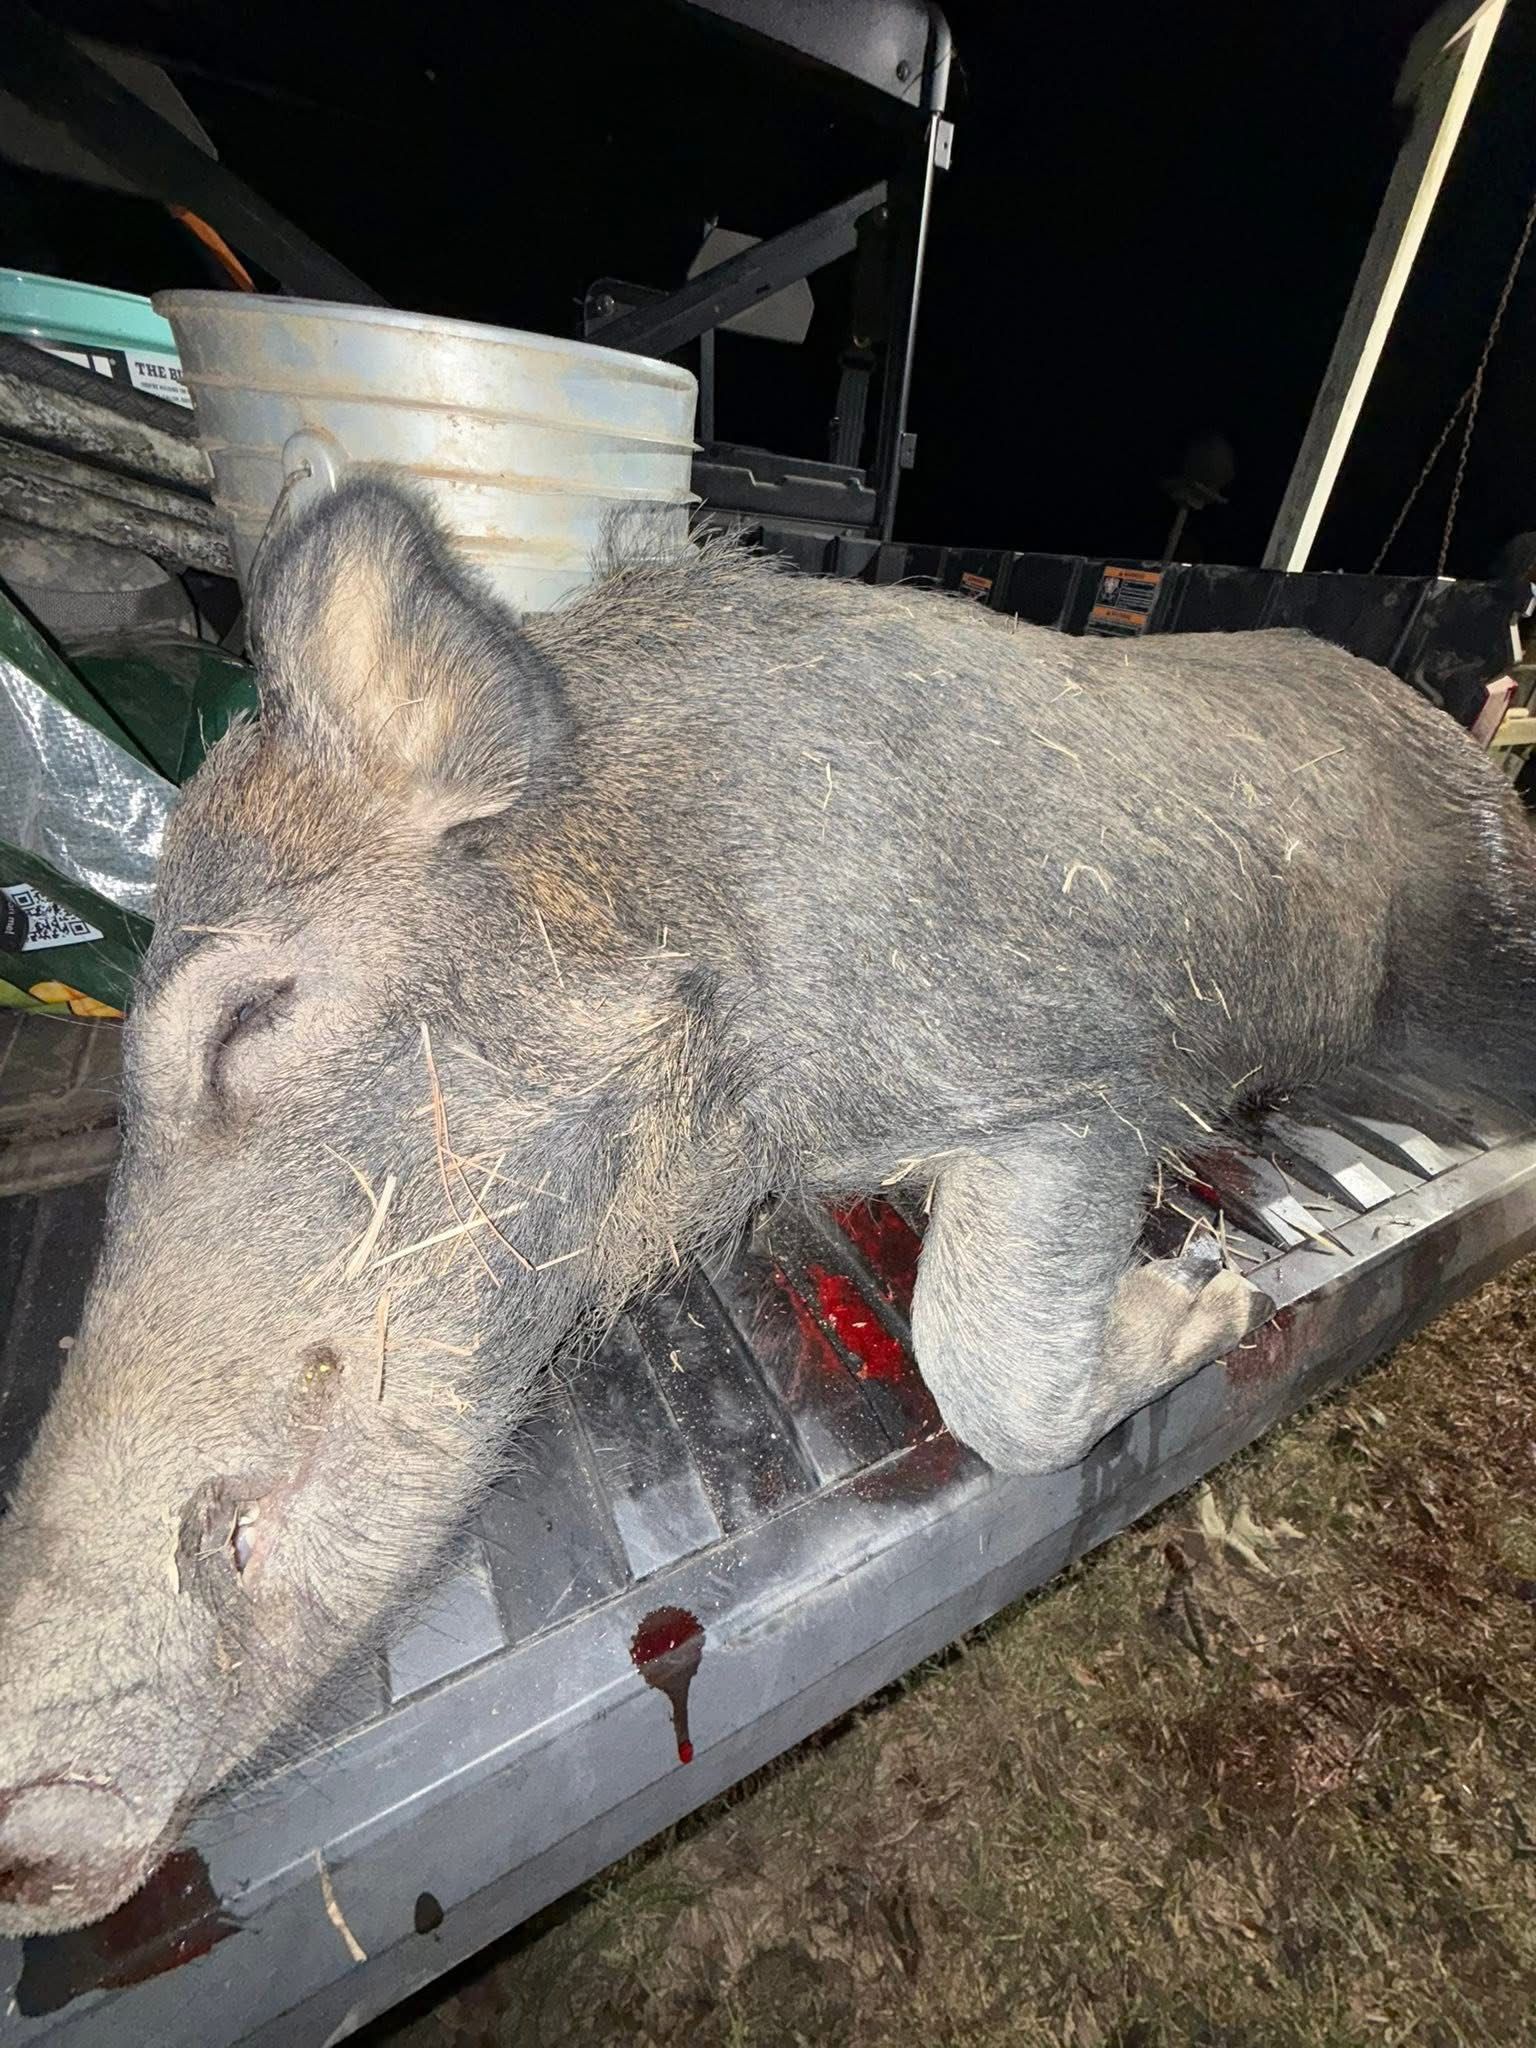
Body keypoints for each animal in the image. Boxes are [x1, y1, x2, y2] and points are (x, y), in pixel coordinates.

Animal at [2, 475, 1533, 1933]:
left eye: (248, 1015)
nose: (24, 1846)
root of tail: (1444, 721)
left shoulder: (1081, 1074)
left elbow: (985, 1368)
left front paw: (1216, 1291)